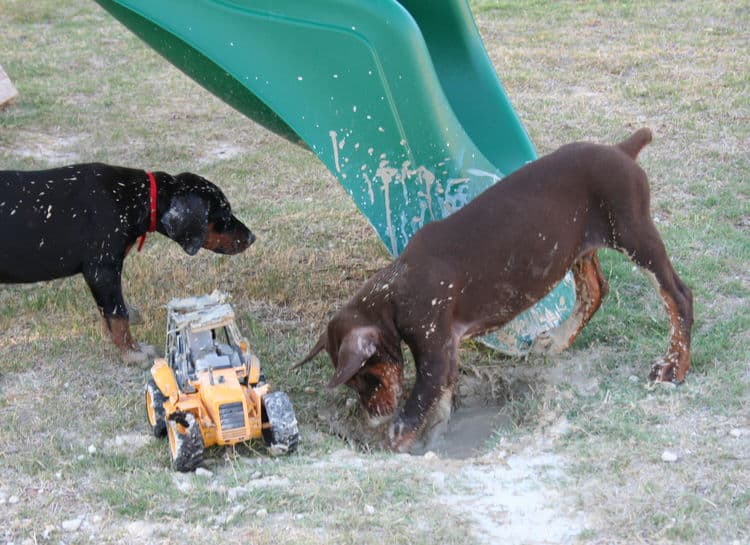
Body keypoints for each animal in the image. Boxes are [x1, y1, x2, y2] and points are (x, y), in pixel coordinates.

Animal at [0, 164, 256, 360]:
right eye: (224, 214)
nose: (252, 238)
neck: (134, 196)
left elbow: (113, 307)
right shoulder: (102, 269)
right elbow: (117, 314)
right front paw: (132, 352)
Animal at [296, 127, 696, 450]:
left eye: (368, 376)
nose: (373, 417)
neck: (394, 291)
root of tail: (621, 150)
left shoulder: (435, 352)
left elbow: (416, 407)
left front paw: (396, 440)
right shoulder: (447, 355)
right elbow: (439, 406)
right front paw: (432, 441)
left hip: (634, 234)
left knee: (677, 296)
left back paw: (673, 368)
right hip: (579, 247)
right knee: (595, 291)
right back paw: (558, 340)